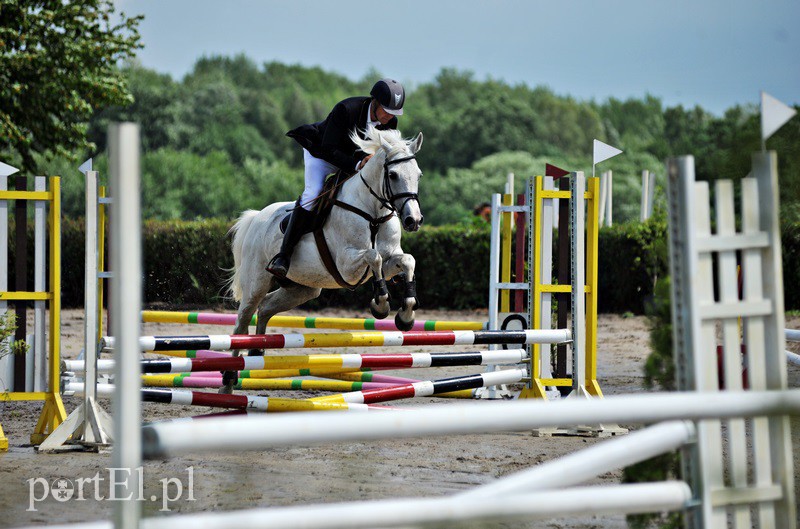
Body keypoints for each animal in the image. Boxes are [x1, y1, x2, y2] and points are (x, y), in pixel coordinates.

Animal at [225, 127, 422, 380]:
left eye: (418, 175)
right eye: (394, 175)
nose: (413, 220)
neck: (373, 215)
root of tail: (256, 216)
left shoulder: (390, 259)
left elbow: (407, 260)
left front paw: (406, 315)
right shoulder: (347, 266)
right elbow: (373, 256)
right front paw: (380, 304)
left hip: (303, 288)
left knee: (266, 307)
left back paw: (258, 352)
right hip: (256, 284)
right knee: (242, 322)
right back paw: (229, 378)